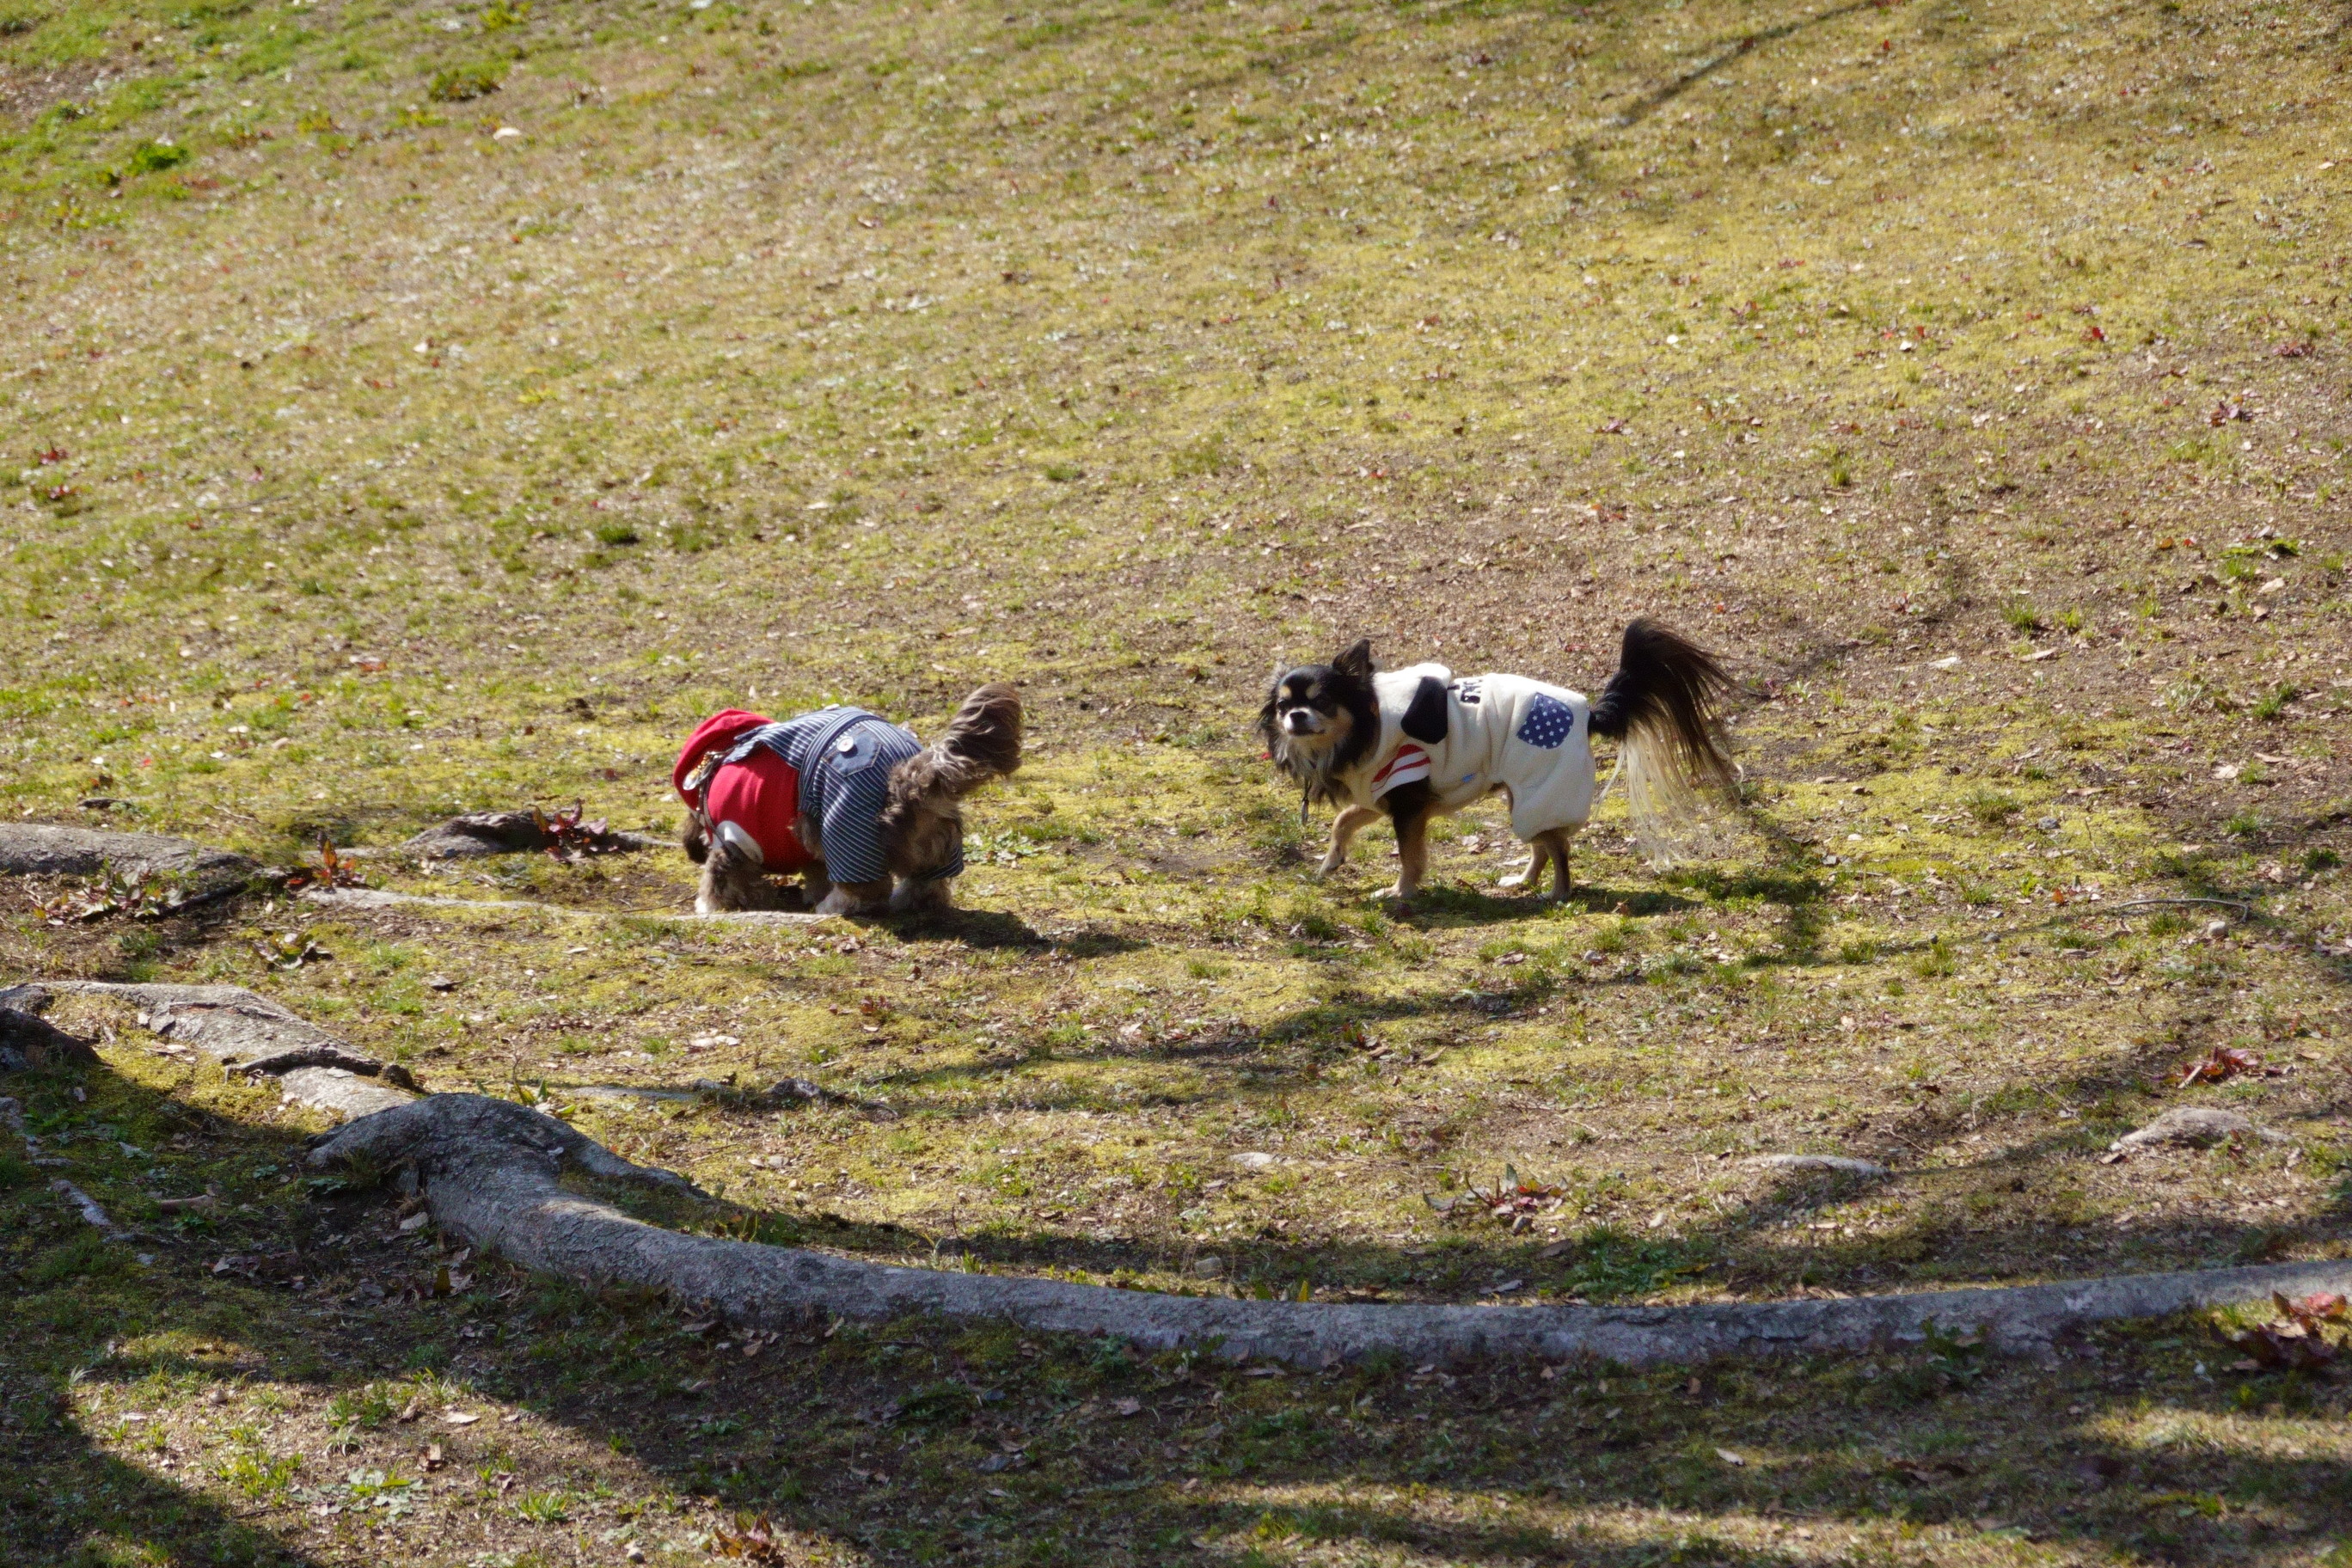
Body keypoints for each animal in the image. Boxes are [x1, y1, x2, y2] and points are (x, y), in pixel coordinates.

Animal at [672, 686, 1020, 921]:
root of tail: (910, 773)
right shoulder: (807, 841)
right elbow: (815, 871)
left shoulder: (732, 840)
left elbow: (720, 879)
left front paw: (709, 905)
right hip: (935, 839)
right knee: (927, 886)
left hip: (847, 828)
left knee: (865, 893)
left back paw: (832, 906)